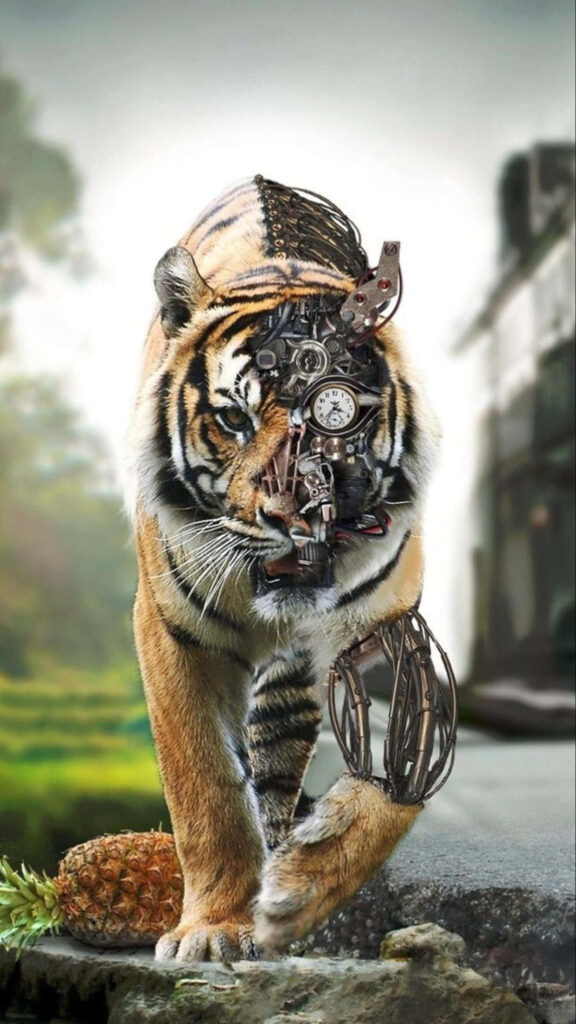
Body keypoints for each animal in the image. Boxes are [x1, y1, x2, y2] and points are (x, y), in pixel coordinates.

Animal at [128, 175, 440, 963]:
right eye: (233, 420)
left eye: (337, 416)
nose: (295, 515)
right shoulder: (173, 632)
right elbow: (205, 785)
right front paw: (213, 928)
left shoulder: (393, 631)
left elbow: (394, 783)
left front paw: (298, 890)